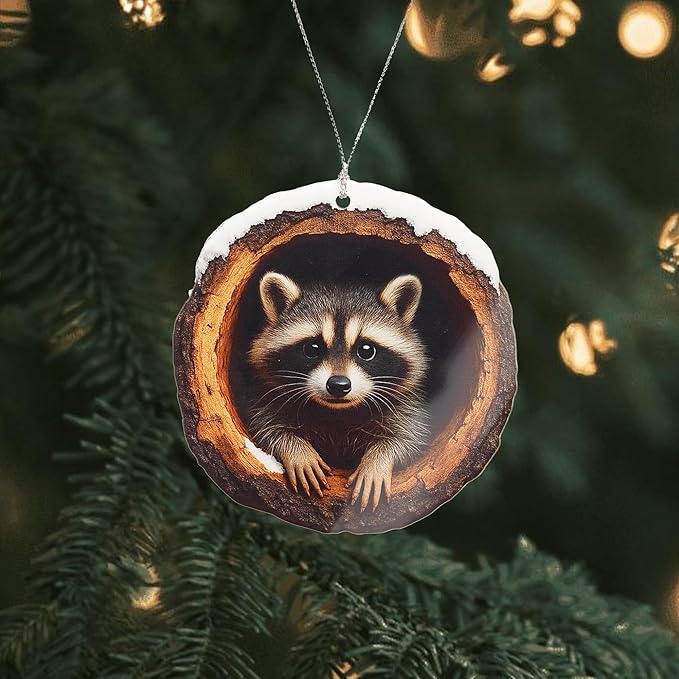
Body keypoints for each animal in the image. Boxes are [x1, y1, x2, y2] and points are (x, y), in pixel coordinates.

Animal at [248, 271, 429, 512]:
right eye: (312, 348)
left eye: (366, 350)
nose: (338, 385)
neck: (338, 412)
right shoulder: (266, 397)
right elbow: (263, 426)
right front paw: (296, 450)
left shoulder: (406, 405)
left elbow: (411, 437)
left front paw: (378, 459)